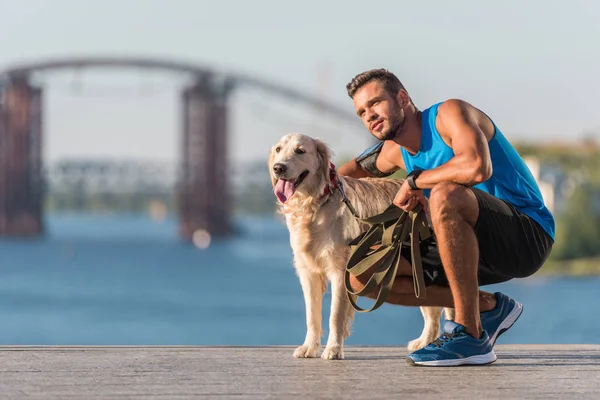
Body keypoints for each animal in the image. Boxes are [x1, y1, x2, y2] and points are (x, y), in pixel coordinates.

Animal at [270, 132, 452, 360]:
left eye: (300, 151)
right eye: (278, 149)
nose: (278, 168)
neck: (314, 205)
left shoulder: (341, 271)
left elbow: (335, 315)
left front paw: (333, 349)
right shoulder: (308, 272)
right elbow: (312, 316)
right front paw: (308, 347)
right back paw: (424, 343)